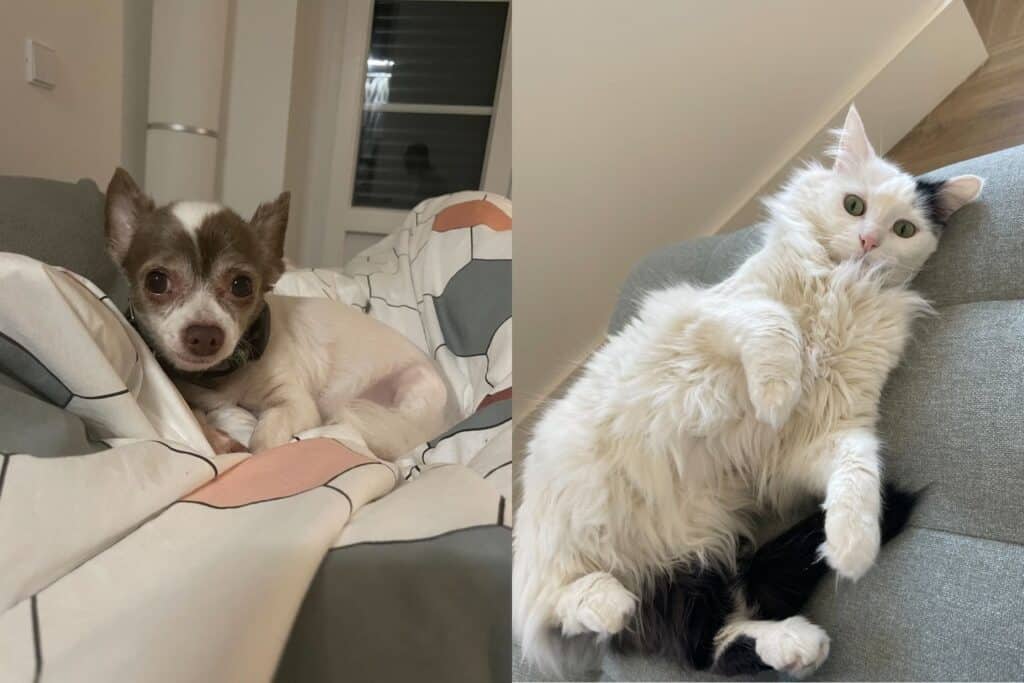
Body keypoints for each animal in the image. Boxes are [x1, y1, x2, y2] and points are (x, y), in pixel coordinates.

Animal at [102, 167, 448, 456]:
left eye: (242, 285)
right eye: (157, 281)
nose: (204, 335)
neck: (220, 375)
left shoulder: (295, 404)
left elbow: (264, 438)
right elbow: (196, 417)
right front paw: (220, 439)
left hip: (410, 393)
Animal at [516, 107, 978, 679]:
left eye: (903, 230)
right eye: (854, 206)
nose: (869, 241)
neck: (842, 287)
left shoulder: (824, 435)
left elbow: (858, 471)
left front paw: (851, 545)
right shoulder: (717, 311)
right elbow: (774, 324)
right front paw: (776, 392)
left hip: (693, 564)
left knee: (706, 646)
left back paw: (797, 644)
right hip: (571, 534)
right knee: (550, 611)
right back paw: (605, 601)